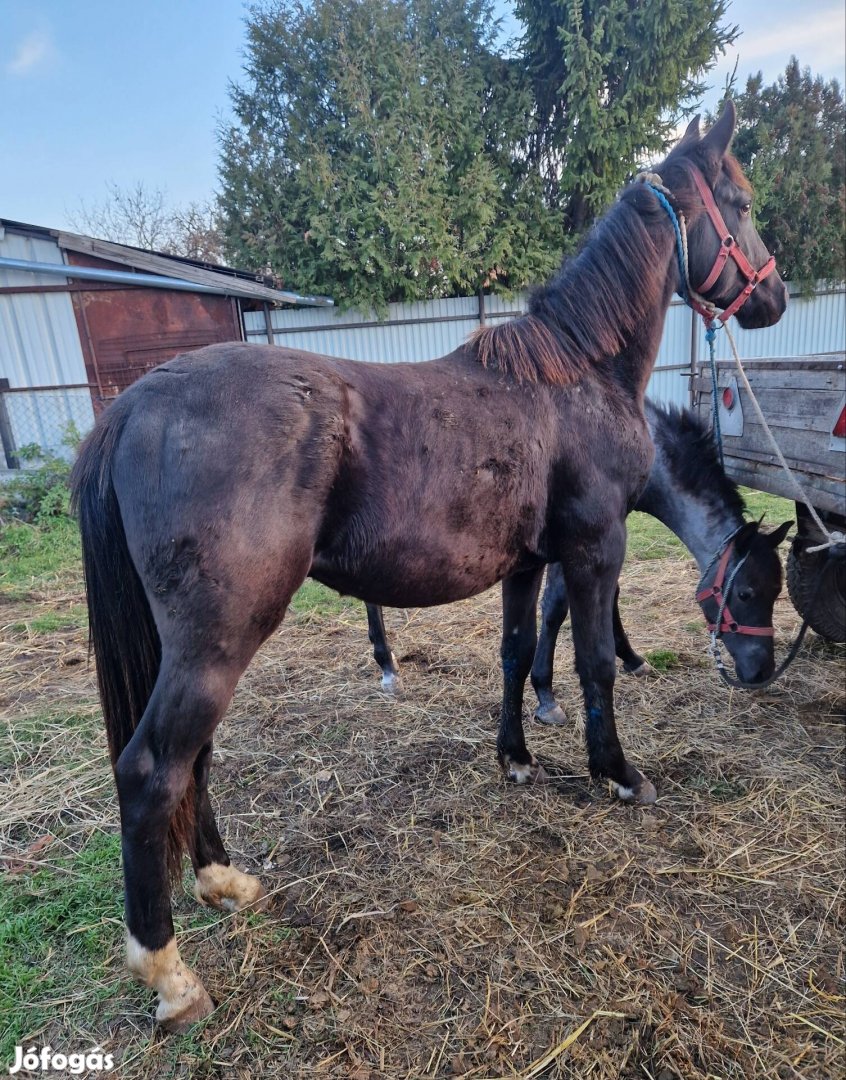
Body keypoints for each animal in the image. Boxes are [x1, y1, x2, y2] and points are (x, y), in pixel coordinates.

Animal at [363, 397, 795, 717]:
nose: (761, 671)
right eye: (745, 593)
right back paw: (387, 669)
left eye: (778, 593)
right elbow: (556, 607)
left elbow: (609, 595)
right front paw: (545, 694)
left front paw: (630, 658)